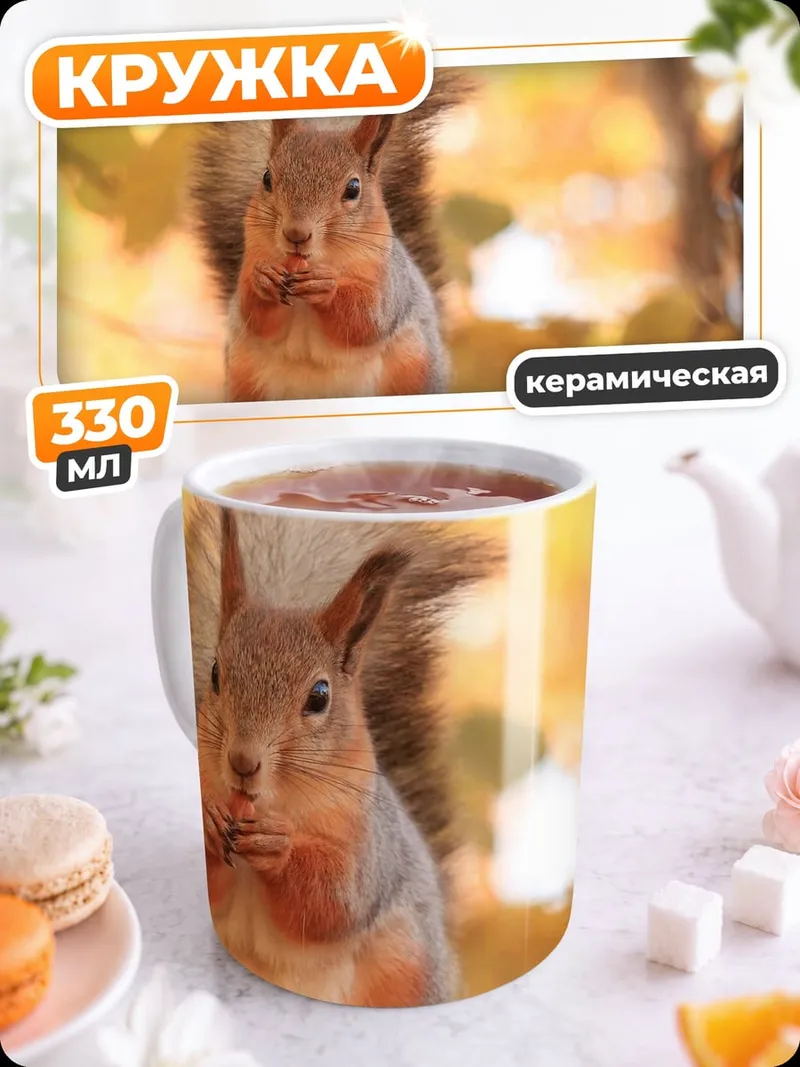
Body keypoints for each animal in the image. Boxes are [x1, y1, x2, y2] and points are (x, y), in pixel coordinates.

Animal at [185, 498, 501, 1006]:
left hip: (406, 967)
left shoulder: (368, 840)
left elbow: (337, 901)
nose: (242, 762)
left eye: (319, 696)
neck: (272, 804)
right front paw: (212, 821)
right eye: (214, 673)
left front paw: (277, 847)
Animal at [188, 70, 471, 403]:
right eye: (266, 178)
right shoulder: (253, 255)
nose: (295, 233)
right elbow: (254, 315)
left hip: (413, 367)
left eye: (353, 188)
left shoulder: (388, 283)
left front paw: (326, 286)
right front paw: (264, 279)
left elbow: (367, 320)